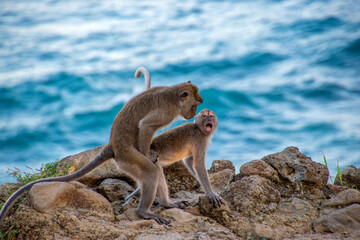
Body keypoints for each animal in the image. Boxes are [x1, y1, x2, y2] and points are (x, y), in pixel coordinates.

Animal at [0, 67, 202, 227]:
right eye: (194, 105)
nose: (193, 113)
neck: (173, 96)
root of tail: (113, 146)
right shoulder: (166, 112)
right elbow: (145, 126)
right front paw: (148, 153)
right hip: (126, 157)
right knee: (150, 171)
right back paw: (143, 212)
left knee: (156, 170)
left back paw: (167, 203)